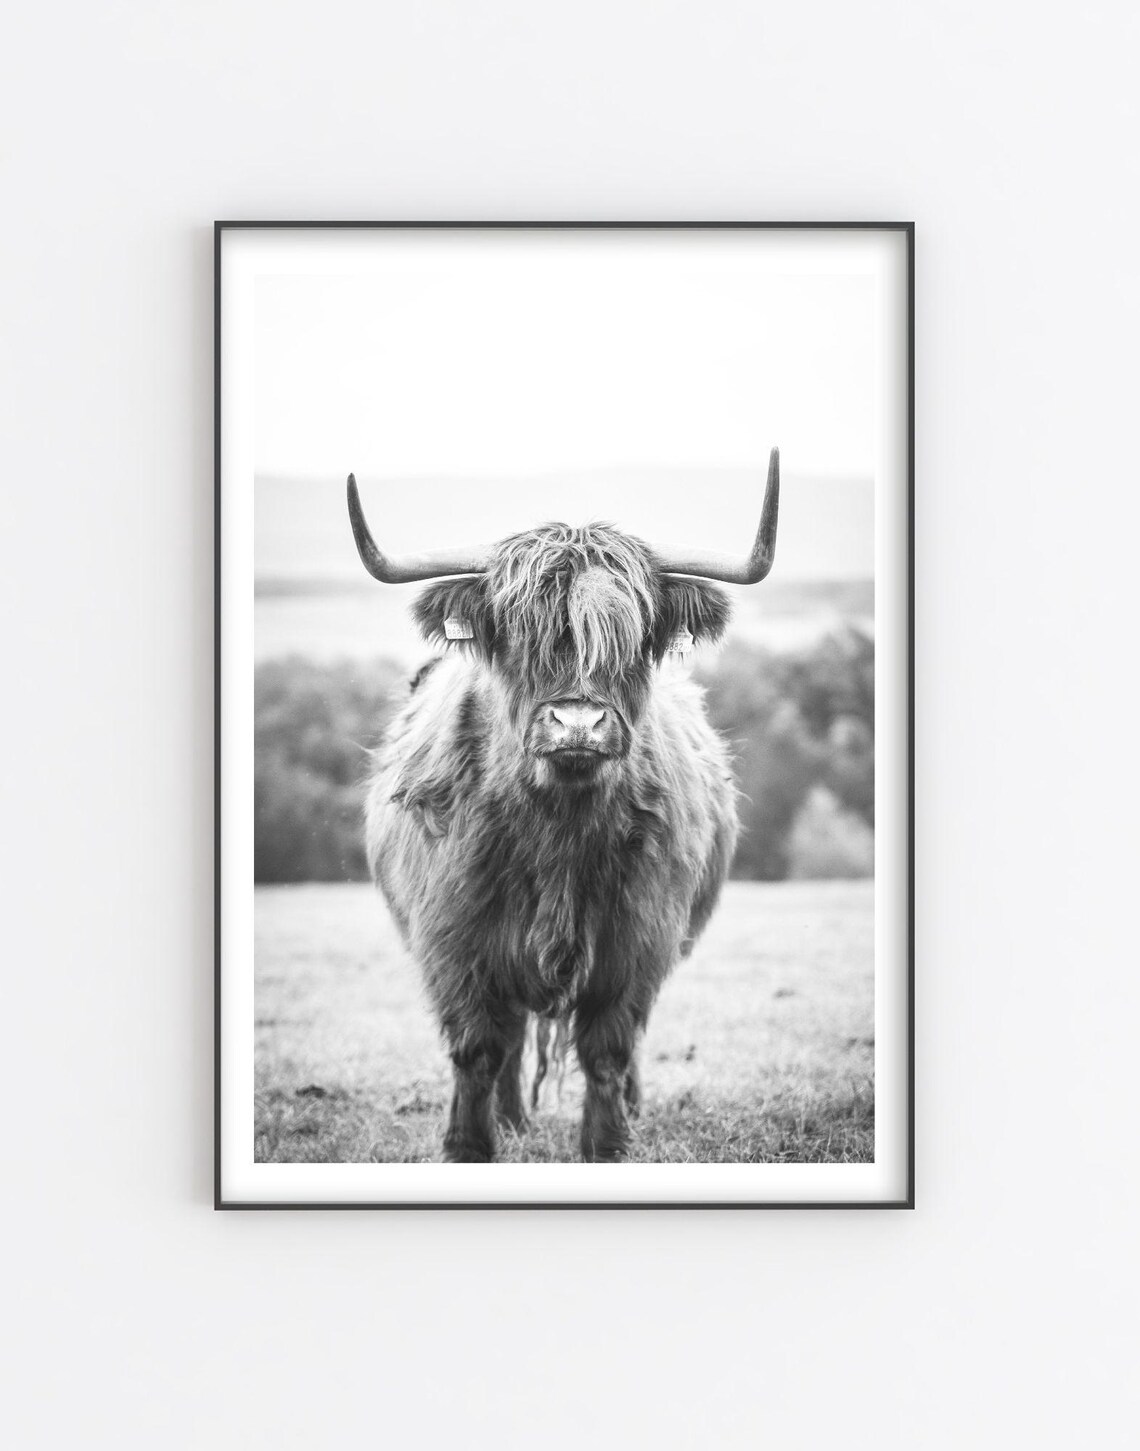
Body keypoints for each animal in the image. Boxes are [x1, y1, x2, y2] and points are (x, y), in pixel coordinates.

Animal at [347, 450, 780, 1162]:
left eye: (632, 639)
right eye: (519, 637)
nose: (577, 722)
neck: (558, 829)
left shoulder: (639, 939)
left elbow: (608, 1048)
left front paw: (607, 1144)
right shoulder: (455, 940)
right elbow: (478, 1048)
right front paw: (470, 1145)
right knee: (513, 1035)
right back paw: (512, 1120)